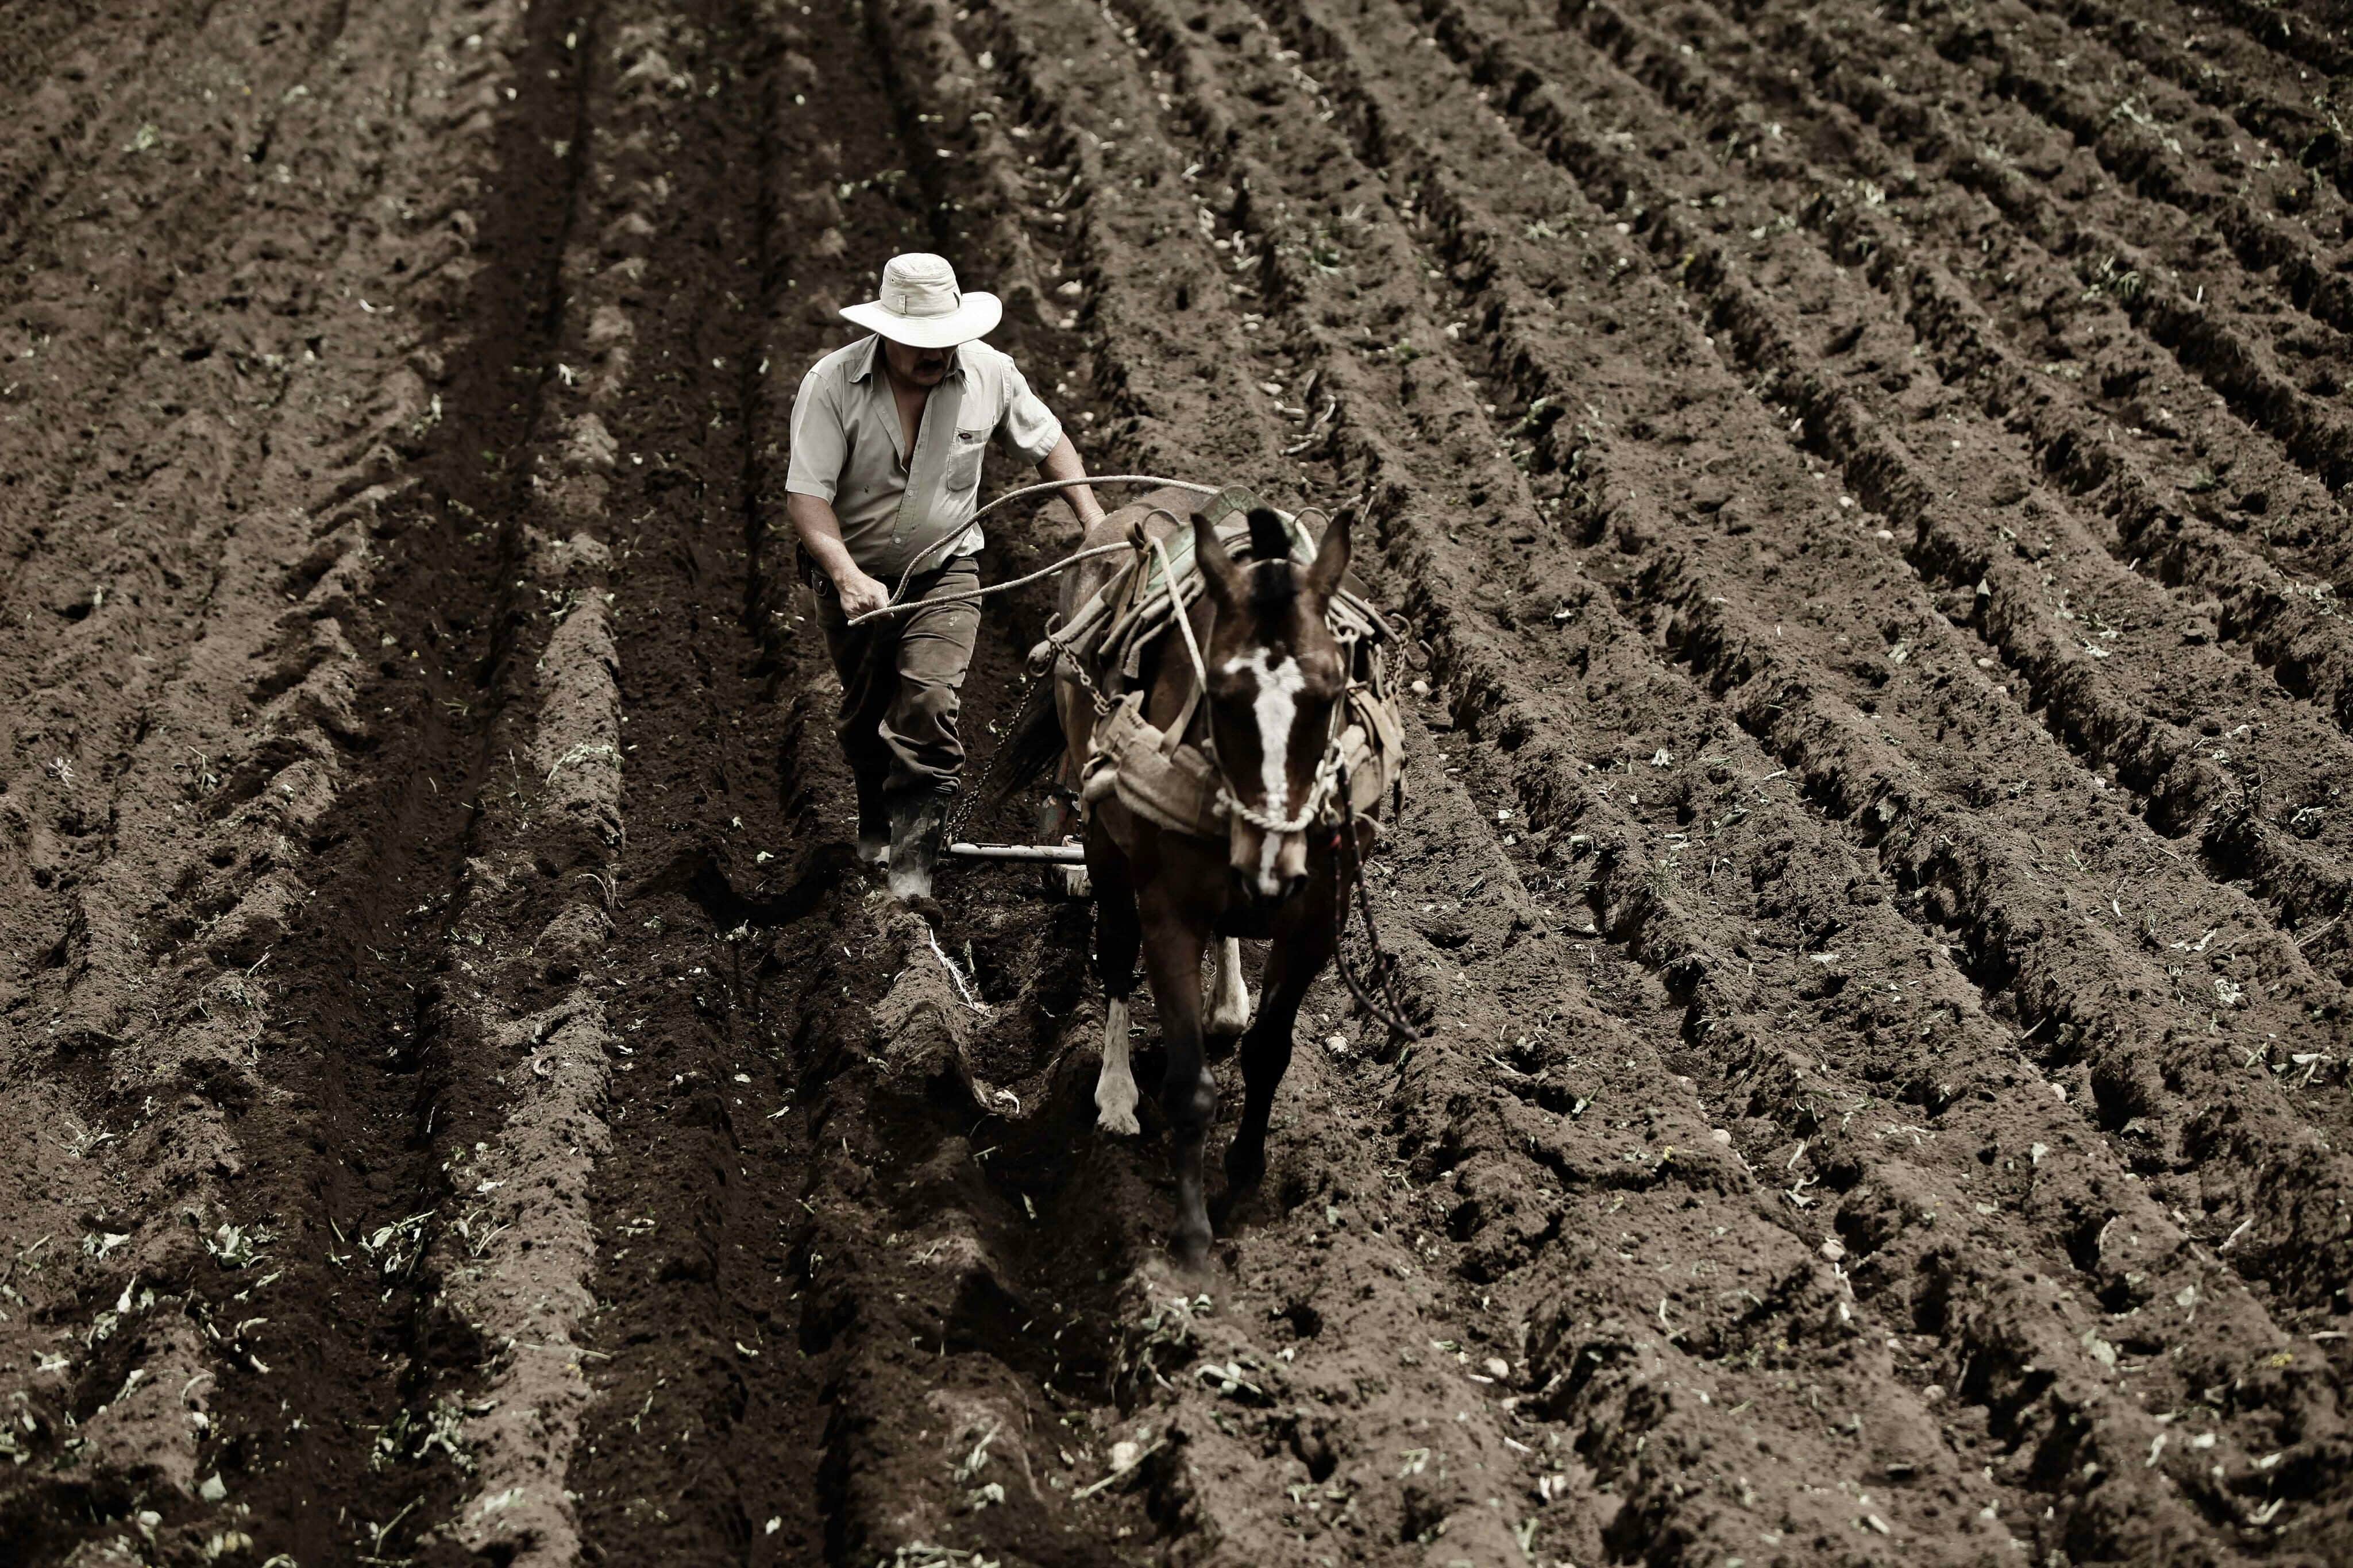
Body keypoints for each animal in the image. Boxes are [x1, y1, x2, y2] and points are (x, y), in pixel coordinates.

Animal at [1044, 493, 1364, 1279]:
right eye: (1221, 691)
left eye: (1330, 690)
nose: (1272, 864)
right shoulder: (1168, 913)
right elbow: (1189, 1083)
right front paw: (1192, 1238)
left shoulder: (1316, 922)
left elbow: (1269, 1053)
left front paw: (1242, 1182)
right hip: (1103, 835)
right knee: (1114, 951)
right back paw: (1117, 1094)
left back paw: (1227, 1002)